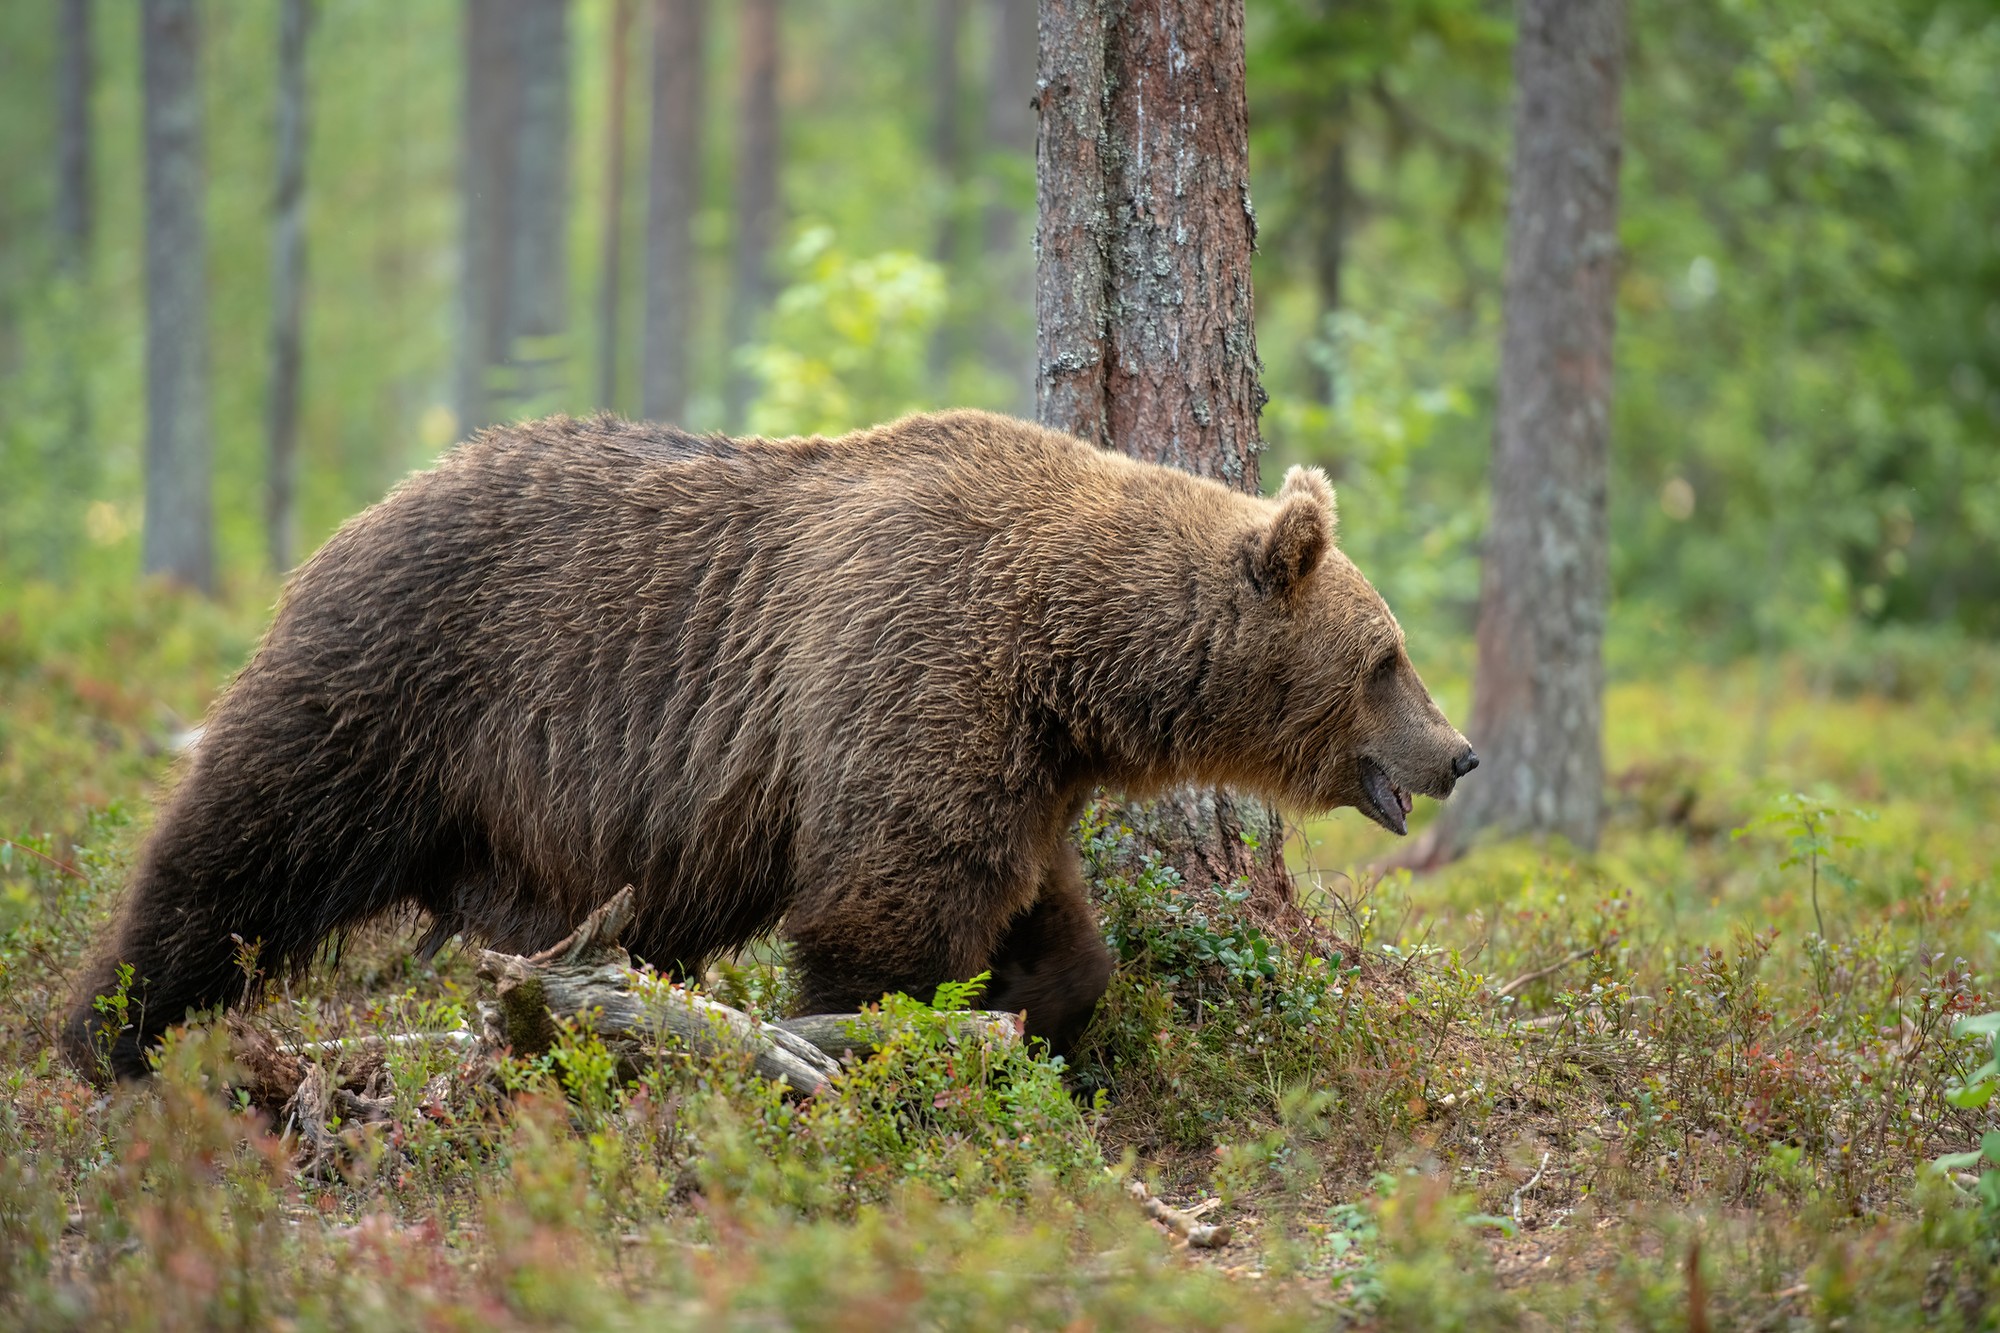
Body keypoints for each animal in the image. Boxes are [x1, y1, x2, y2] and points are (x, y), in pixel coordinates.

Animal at [62, 408, 1480, 1080]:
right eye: (1387, 656)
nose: (1458, 752)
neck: (1067, 655)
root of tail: (366, 508)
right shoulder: (910, 665)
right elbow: (886, 909)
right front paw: (879, 1045)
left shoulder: (1014, 755)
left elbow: (1033, 903)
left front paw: (1040, 1004)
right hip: (397, 685)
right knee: (236, 851)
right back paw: (107, 1039)